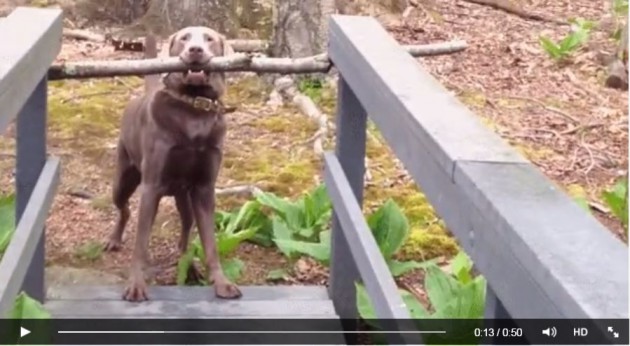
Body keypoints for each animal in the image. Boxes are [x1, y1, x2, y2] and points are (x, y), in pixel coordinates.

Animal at [103, 27, 242, 302]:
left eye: (209, 38)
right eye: (184, 38)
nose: (195, 50)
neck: (193, 109)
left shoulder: (204, 188)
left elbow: (210, 242)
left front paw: (221, 282)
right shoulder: (152, 185)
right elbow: (140, 241)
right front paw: (136, 285)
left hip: (182, 195)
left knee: (186, 227)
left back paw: (188, 265)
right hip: (124, 179)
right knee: (125, 210)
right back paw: (115, 240)